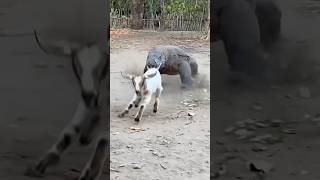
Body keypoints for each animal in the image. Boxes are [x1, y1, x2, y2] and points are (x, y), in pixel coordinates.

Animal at [23, 29, 109, 180]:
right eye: (78, 68)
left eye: (101, 67)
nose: (88, 94)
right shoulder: (87, 97)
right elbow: (69, 132)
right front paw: (40, 165)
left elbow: (103, 139)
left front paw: (89, 174)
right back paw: (86, 135)